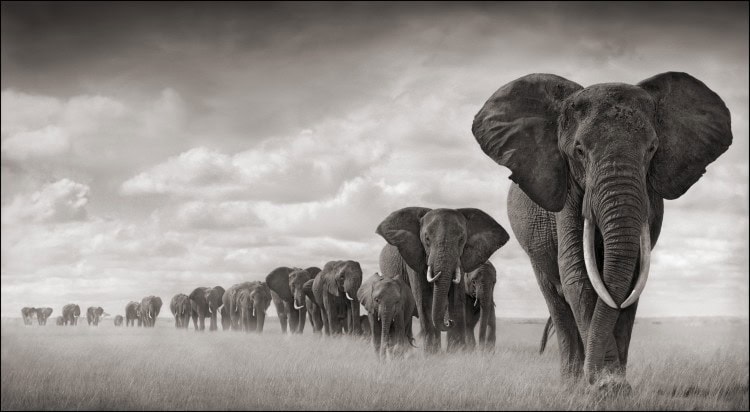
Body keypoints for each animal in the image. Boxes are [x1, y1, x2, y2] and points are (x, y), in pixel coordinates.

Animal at [376, 208, 512, 352]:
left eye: (462, 239)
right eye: (427, 239)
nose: (449, 322)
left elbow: (456, 297)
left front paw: (457, 352)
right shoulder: (413, 256)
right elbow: (424, 299)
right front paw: (433, 354)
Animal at [476, 71, 736, 386]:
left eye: (652, 149)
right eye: (579, 150)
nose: (594, 378)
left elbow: (632, 279)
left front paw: (614, 384)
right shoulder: (567, 192)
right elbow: (578, 275)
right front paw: (605, 386)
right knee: (557, 301)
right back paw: (570, 383)